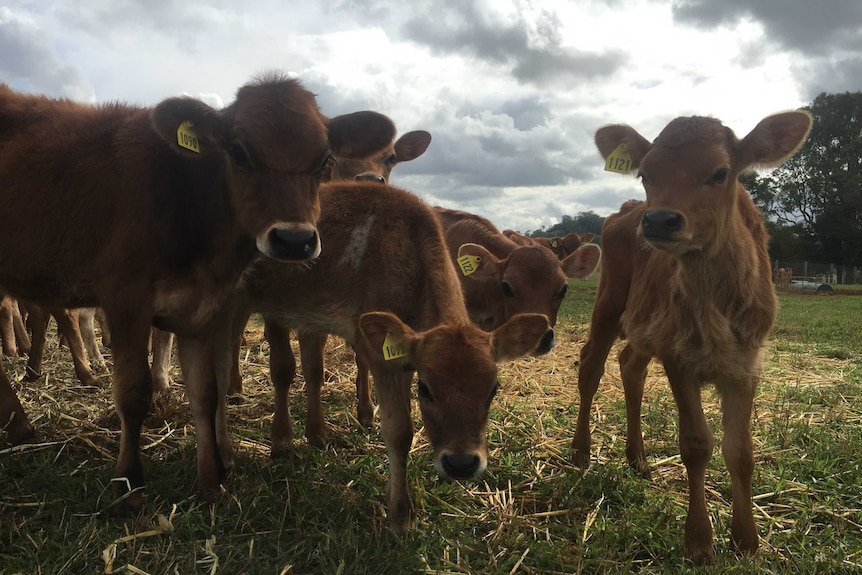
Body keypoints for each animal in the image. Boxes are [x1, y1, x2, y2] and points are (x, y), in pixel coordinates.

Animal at [0, 73, 396, 512]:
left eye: (325, 159)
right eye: (239, 153)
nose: (294, 240)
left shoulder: (202, 308)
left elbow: (206, 391)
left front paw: (210, 481)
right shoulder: (125, 298)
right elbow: (133, 392)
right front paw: (129, 485)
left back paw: (18, 423)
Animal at [219, 182, 552, 532]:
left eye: (492, 390)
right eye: (426, 390)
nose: (461, 463)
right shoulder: (380, 357)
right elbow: (398, 431)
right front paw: (400, 513)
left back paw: (314, 434)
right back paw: (269, 443)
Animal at [572, 111, 816, 564]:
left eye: (720, 172)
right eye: (646, 174)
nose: (659, 220)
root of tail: (624, 212)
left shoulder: (746, 361)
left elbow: (741, 450)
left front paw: (747, 540)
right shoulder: (678, 355)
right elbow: (697, 444)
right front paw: (700, 541)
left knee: (630, 364)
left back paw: (638, 458)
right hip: (610, 300)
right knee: (591, 365)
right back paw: (581, 451)